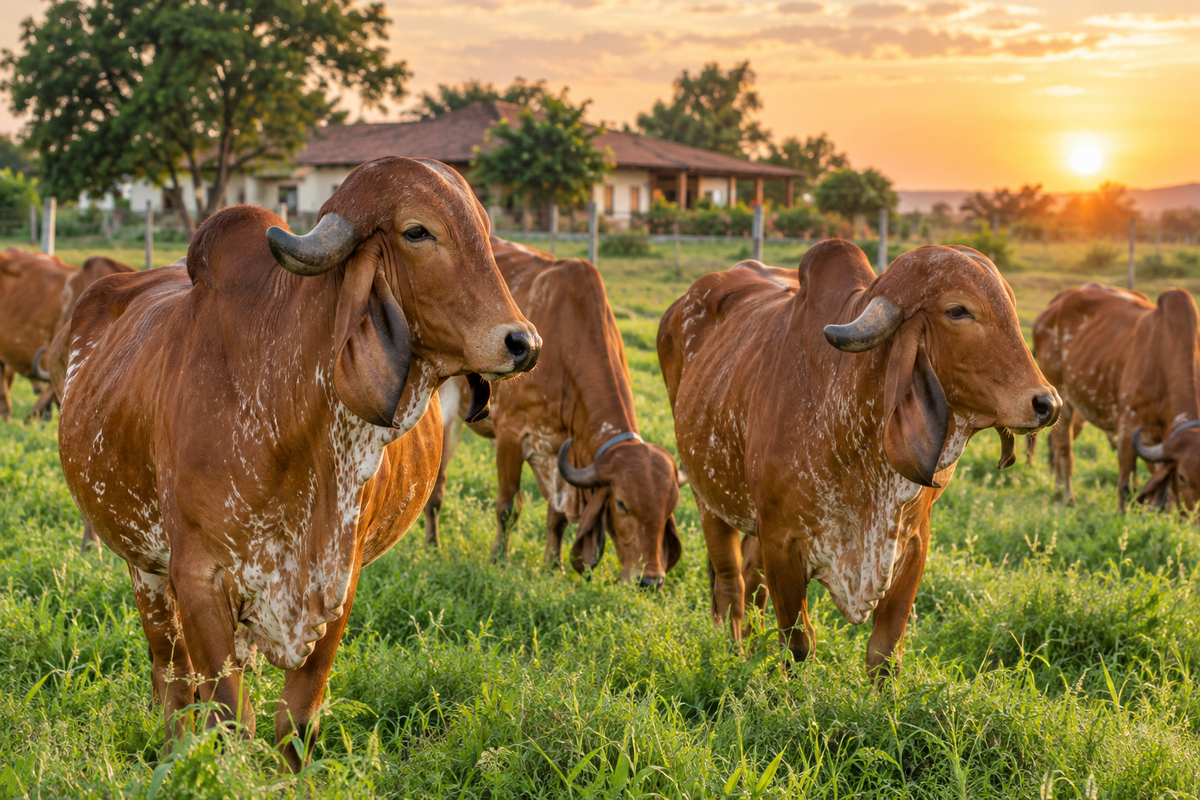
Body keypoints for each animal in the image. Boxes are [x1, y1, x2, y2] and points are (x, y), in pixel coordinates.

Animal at [51, 157, 540, 771]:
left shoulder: (338, 584)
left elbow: (296, 722)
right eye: (418, 231)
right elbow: (228, 718)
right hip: (145, 569)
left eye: (484, 230)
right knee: (171, 680)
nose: (524, 343)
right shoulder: (199, 578)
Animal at [423, 237, 684, 585]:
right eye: (622, 505)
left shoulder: (560, 450)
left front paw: (553, 564)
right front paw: (498, 559)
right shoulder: (511, 435)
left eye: (670, 508)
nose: (650, 580)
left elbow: (557, 516)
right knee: (437, 487)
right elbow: (508, 506)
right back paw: (432, 544)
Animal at [658, 240, 1060, 681]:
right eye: (958, 310)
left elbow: (884, 651)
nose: (1047, 404)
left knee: (750, 580)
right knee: (731, 585)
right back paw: (737, 653)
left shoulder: (913, 542)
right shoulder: (781, 541)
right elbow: (798, 645)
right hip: (709, 499)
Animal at [1032, 283, 1200, 512]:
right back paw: (1065, 496)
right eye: (1182, 477)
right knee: (1064, 449)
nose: (1194, 517)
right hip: (1059, 399)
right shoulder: (1127, 428)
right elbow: (1124, 483)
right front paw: (1122, 512)